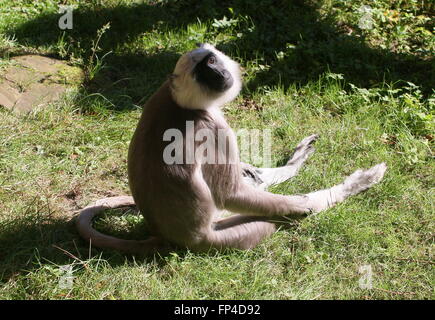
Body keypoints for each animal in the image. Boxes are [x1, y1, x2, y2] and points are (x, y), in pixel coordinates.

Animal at [76, 44, 388, 255]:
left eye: (212, 60)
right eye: (204, 71)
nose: (218, 72)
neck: (182, 102)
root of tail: (162, 236)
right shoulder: (212, 127)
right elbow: (231, 193)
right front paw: (301, 204)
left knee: (257, 181)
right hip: (222, 236)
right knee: (271, 212)